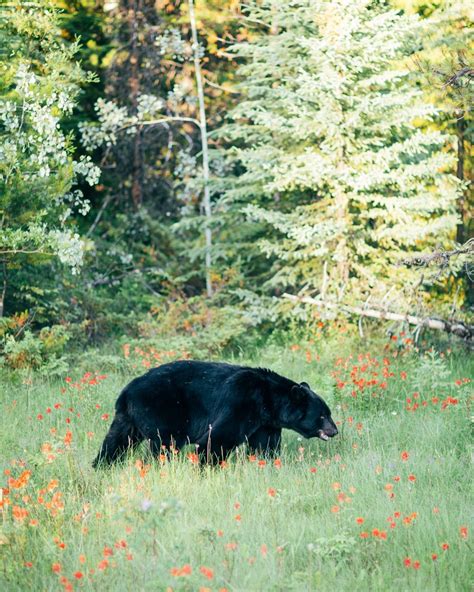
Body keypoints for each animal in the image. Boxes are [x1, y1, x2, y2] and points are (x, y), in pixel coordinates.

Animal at [92, 358, 336, 464]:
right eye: (322, 415)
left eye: (329, 412)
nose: (335, 431)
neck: (267, 400)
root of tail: (126, 392)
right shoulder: (240, 402)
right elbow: (218, 437)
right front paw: (206, 465)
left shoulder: (265, 423)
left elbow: (264, 445)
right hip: (163, 410)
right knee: (165, 444)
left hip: (127, 419)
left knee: (116, 442)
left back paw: (102, 465)